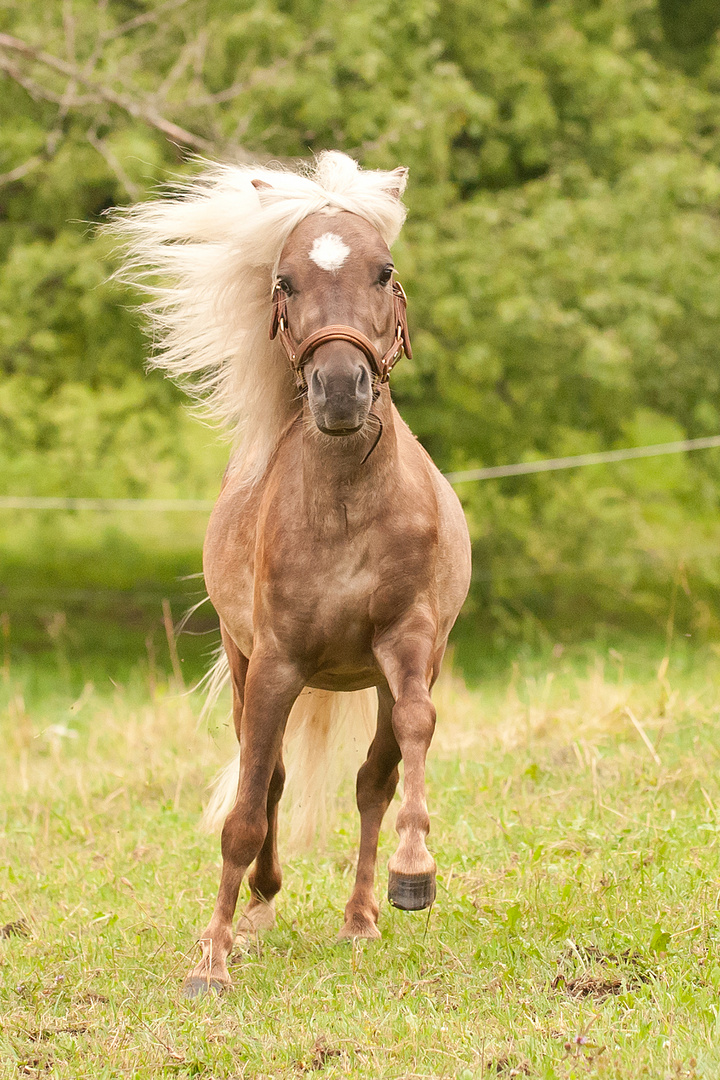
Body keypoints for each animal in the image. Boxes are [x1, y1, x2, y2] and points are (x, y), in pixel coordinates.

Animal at [115, 152, 470, 993]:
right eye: (285, 280)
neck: (344, 502)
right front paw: (212, 958)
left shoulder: (410, 645)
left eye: (384, 270)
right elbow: (247, 808)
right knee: (267, 774)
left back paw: (360, 918)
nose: (340, 390)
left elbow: (412, 735)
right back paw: (259, 907)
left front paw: (415, 871)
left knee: (372, 780)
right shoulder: (277, 662)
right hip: (248, 664)